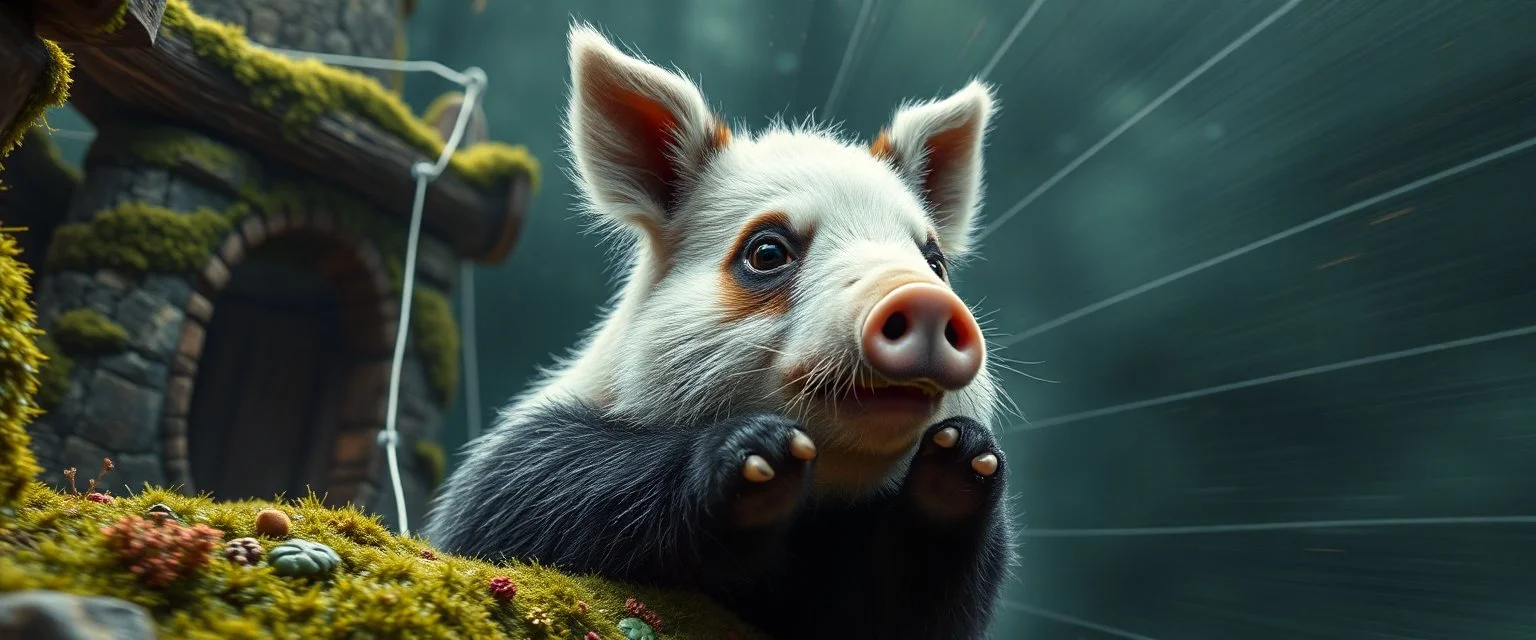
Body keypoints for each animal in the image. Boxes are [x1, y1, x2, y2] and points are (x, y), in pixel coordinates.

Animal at [425, 22, 1016, 640]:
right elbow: (536, 498)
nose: (921, 299)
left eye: (935, 262)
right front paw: (762, 456)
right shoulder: (516, 473)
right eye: (767, 252)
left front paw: (963, 458)